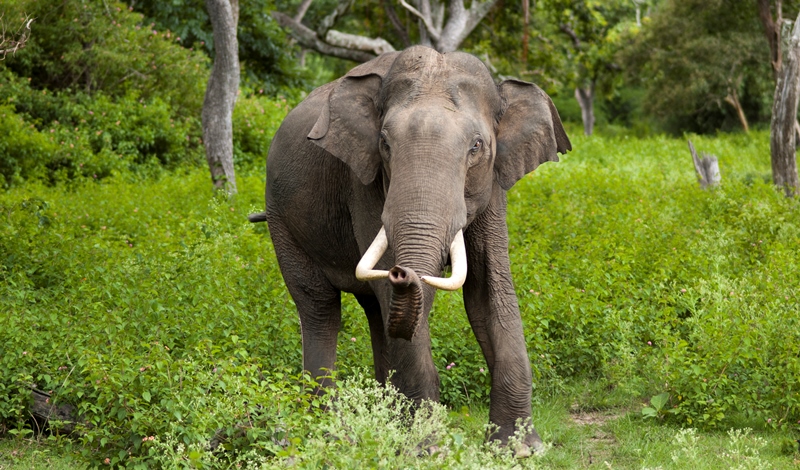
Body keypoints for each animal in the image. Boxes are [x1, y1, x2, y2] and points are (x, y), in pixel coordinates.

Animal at [250, 46, 568, 454]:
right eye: (385, 144)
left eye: (476, 146)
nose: (403, 272)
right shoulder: (364, 182)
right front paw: (426, 449)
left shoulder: (494, 184)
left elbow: (488, 291)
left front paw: (520, 449)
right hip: (281, 220)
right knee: (320, 307)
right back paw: (330, 431)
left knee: (375, 312)